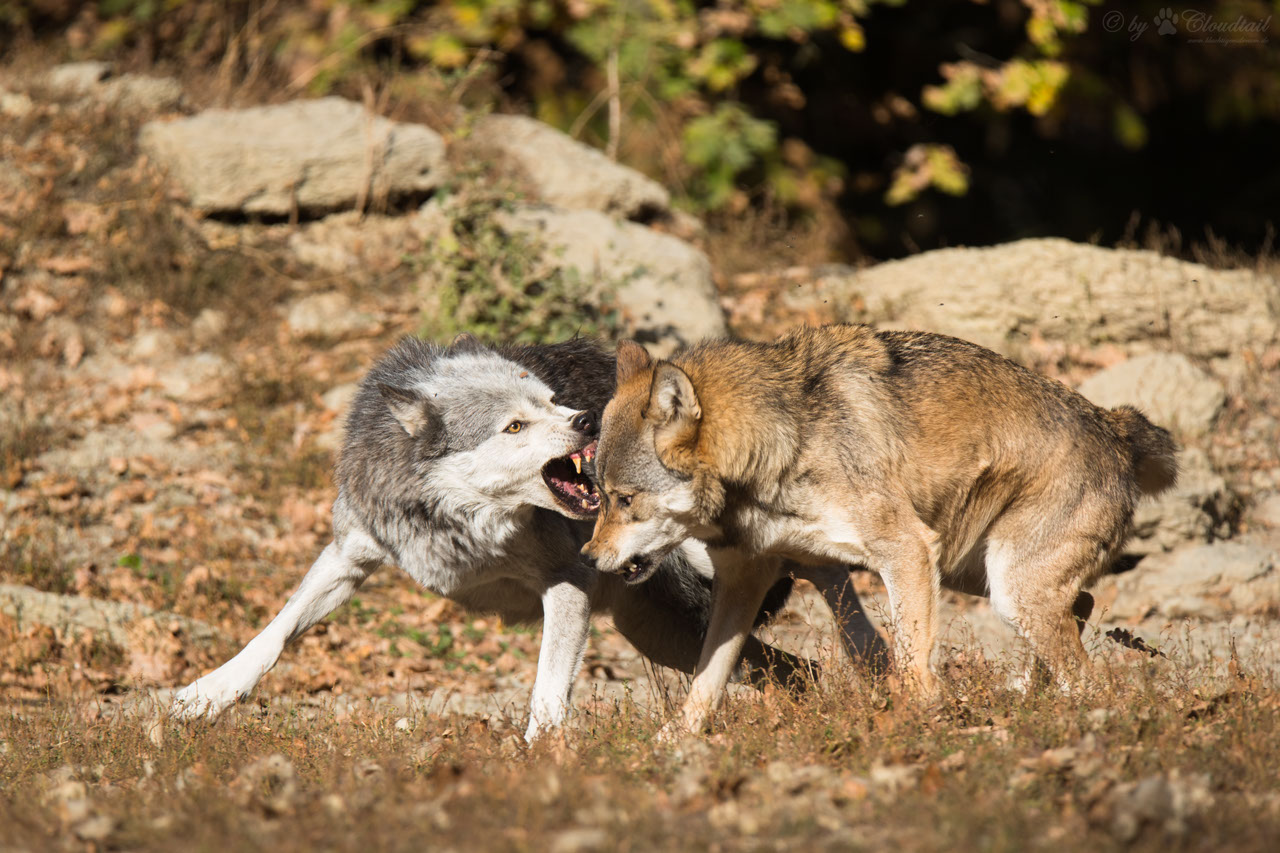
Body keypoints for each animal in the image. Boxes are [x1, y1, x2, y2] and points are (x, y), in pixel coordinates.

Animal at [175, 333, 885, 737]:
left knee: (829, 579)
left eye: (550, 402)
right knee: (799, 669)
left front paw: (543, 760)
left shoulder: (567, 584)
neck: (464, 525)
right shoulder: (350, 555)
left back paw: (875, 660)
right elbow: (274, 634)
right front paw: (205, 697)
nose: (586, 418)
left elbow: (547, 693)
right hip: (666, 635)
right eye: (514, 426)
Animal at [586, 322, 1172, 732]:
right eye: (598, 492)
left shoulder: (905, 550)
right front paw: (670, 750)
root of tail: (1116, 428)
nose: (589, 559)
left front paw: (922, 724)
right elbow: (705, 685)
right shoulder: (748, 580)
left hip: (1002, 585)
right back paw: (1028, 696)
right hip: (976, 574)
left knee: (1091, 678)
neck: (786, 442)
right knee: (1082, 608)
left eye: (624, 499)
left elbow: (912, 665)